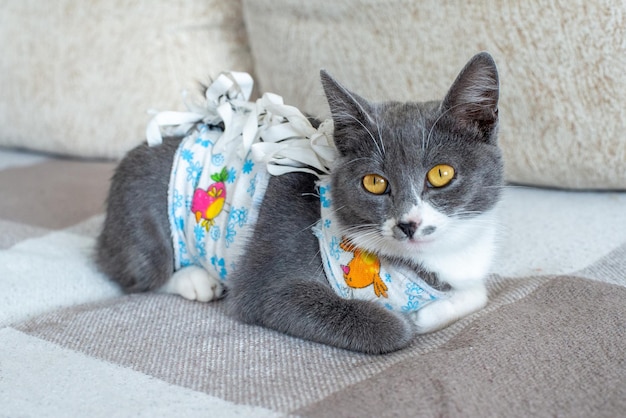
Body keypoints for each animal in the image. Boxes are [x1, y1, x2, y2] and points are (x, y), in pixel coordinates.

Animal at [96, 52, 502, 352]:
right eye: (374, 182)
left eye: (441, 174)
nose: (408, 223)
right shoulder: (269, 272)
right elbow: (391, 328)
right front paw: (407, 320)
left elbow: (478, 293)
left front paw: (431, 311)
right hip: (141, 223)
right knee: (134, 272)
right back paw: (195, 279)